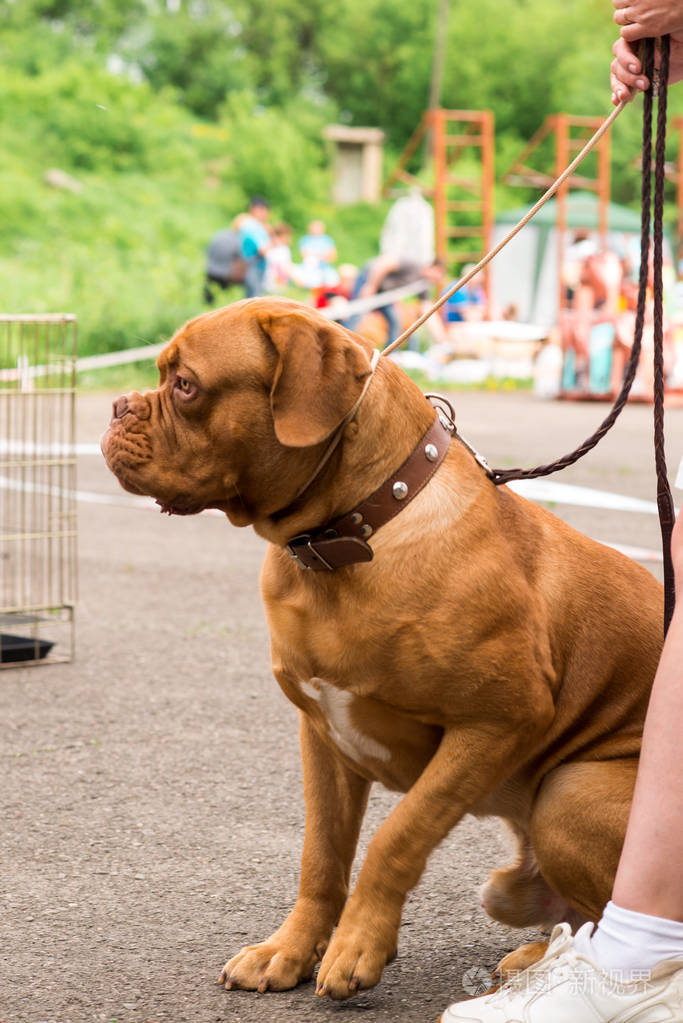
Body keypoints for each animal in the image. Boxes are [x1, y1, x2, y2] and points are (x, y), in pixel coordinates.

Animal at [100, 296, 662, 998]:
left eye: (185, 385)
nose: (116, 405)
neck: (348, 534)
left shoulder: (497, 724)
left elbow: (397, 835)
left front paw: (358, 945)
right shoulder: (321, 735)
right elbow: (322, 855)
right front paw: (290, 949)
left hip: (569, 794)